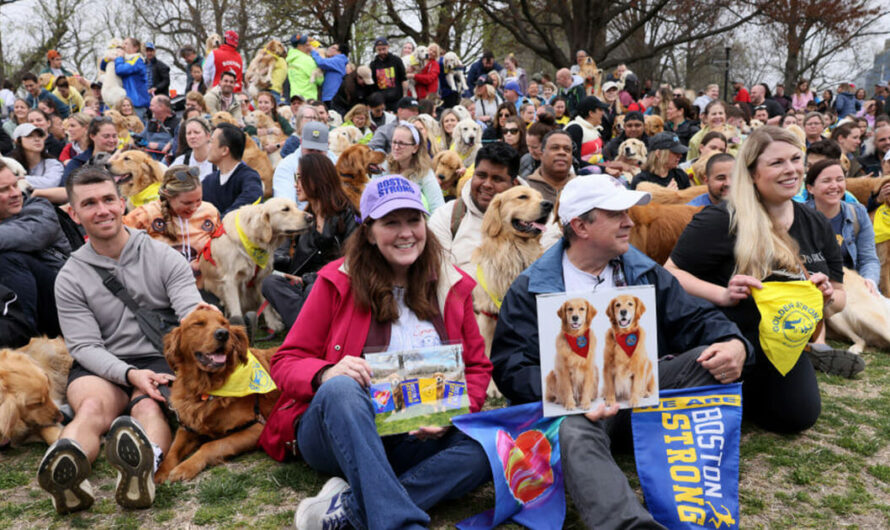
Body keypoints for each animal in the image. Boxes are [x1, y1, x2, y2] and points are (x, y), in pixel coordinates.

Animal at [154, 308, 276, 480]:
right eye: (198, 323)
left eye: (224, 324)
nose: (223, 334)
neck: (206, 388)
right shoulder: (187, 427)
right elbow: (172, 450)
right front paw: (160, 472)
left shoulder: (258, 427)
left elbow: (211, 445)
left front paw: (185, 467)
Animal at [199, 198, 310, 330]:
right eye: (285, 209)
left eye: (296, 206)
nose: (311, 217)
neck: (250, 242)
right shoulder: (230, 281)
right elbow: (236, 309)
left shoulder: (262, 277)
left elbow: (267, 305)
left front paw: (273, 323)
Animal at [472, 184, 548, 394]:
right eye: (522, 197)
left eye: (540, 196)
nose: (548, 204)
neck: (516, 251)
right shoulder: (489, 316)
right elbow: (490, 351)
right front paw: (492, 387)